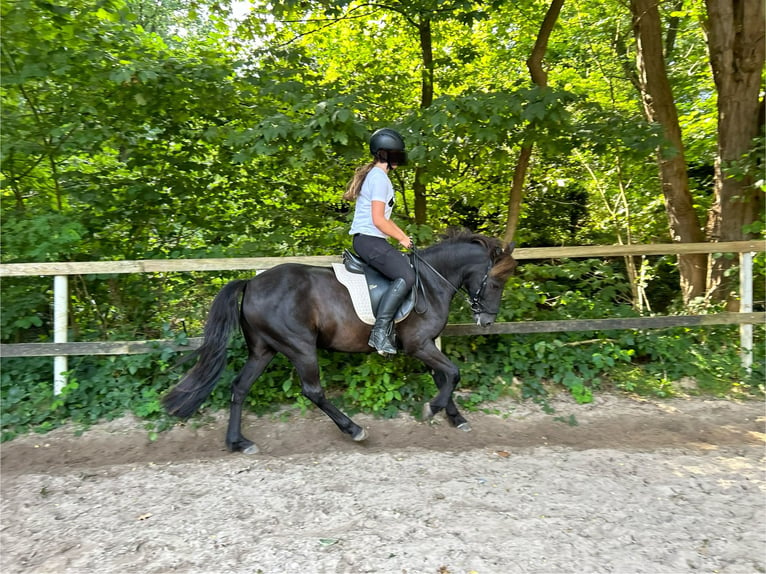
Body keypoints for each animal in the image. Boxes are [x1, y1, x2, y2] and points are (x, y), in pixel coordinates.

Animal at [164, 230, 520, 454]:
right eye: (496, 283)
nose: (487, 321)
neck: (431, 282)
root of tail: (251, 282)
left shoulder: (427, 344)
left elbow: (444, 376)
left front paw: (455, 418)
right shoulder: (420, 344)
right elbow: (453, 374)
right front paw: (432, 409)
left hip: (264, 349)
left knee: (239, 387)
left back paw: (238, 442)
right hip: (300, 347)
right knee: (313, 391)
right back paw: (354, 429)